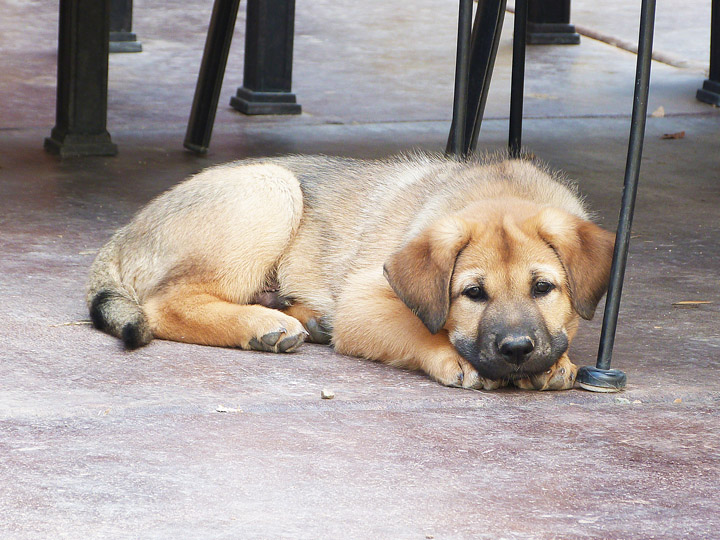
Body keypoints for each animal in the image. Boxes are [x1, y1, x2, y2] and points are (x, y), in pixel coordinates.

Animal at [86, 154, 612, 390]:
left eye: (543, 288)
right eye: (473, 293)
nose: (518, 351)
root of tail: (126, 232)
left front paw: (558, 363)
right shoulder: (362, 300)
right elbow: (415, 329)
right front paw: (453, 357)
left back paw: (304, 316)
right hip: (271, 189)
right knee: (165, 303)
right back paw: (266, 325)